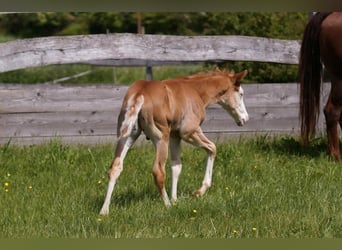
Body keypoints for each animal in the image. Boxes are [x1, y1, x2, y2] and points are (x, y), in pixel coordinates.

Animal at [99, 68, 248, 215]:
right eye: (241, 94)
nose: (245, 119)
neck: (196, 91)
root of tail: (140, 93)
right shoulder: (189, 132)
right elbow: (212, 148)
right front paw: (199, 192)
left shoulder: (175, 136)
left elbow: (176, 165)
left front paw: (175, 199)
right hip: (161, 138)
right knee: (158, 171)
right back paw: (167, 205)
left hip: (127, 136)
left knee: (115, 167)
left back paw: (104, 210)